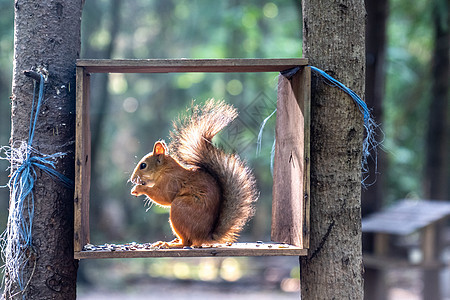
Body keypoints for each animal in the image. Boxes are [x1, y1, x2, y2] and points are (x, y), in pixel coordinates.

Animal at [128, 99, 258, 248]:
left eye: (143, 165)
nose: (132, 179)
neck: (166, 170)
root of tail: (204, 236)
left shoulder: (172, 182)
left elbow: (163, 197)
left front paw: (139, 189)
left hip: (179, 208)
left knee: (187, 242)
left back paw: (170, 244)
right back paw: (174, 241)